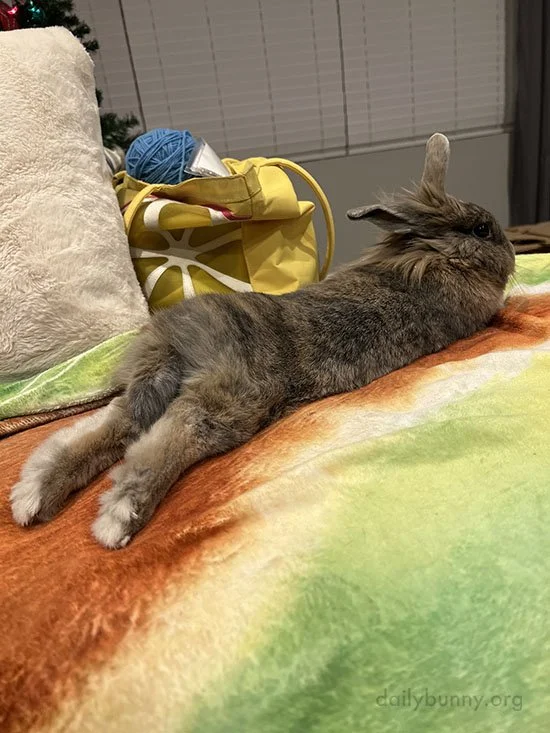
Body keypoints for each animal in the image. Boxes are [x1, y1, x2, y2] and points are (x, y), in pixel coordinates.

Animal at [10, 133, 515, 548]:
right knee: (170, 437)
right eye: (481, 230)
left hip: (152, 382)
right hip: (230, 400)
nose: (512, 253)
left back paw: (32, 495)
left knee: (116, 425)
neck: (432, 256)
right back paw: (120, 517)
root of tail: (186, 338)